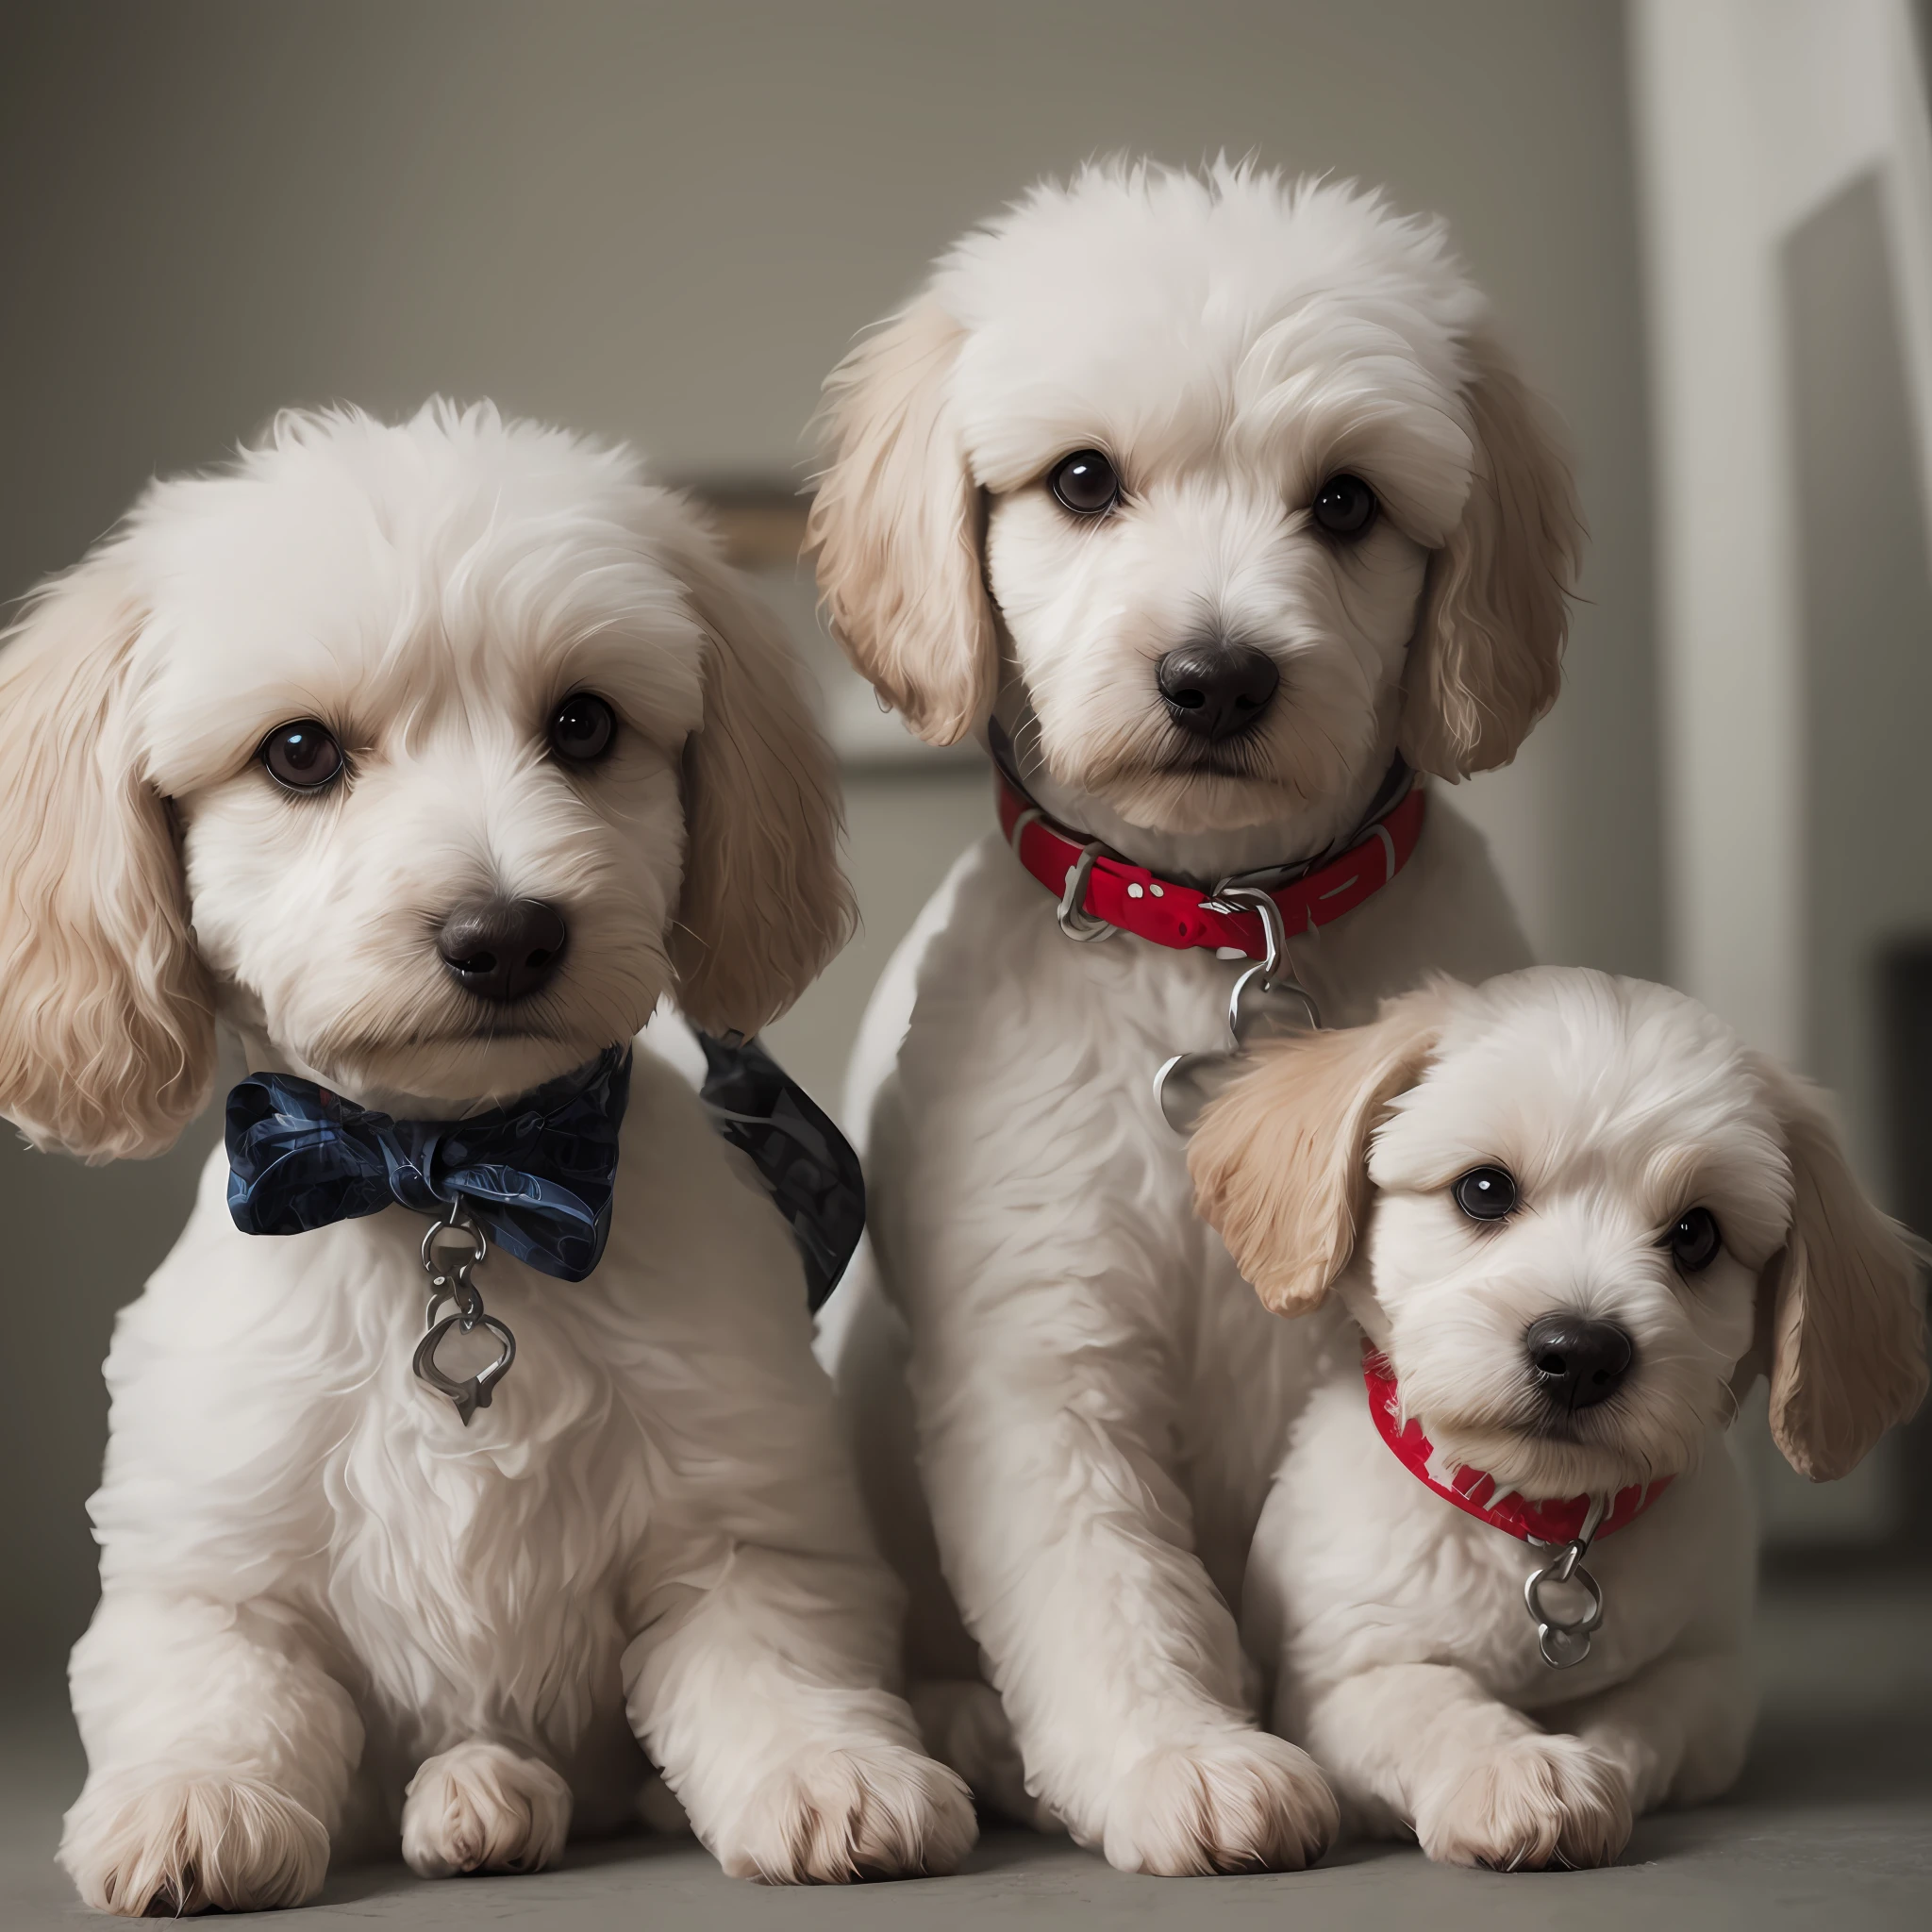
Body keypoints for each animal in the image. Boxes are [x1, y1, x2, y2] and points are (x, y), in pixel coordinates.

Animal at [0, 404, 974, 1916]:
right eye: (297, 753)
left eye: (583, 722)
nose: (504, 933)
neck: (456, 1182)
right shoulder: (206, 1562)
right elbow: (215, 1684)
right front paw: (197, 1795)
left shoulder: (744, 1522)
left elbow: (775, 1658)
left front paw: (831, 1767)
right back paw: (477, 1790)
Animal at [808, 162, 1576, 1870]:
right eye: (1084, 480)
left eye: (1345, 502)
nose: (1215, 676)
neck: (1222, 922)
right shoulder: (1040, 1342)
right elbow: (1103, 1586)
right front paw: (1180, 1754)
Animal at [1182, 974, 1924, 1862]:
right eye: (1484, 1189)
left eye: (1697, 1233)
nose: (1580, 1354)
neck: (1536, 1522)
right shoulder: (1337, 1677)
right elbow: (1428, 1703)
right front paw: (1516, 1765)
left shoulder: (1711, 1681)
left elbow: (1644, 1721)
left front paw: (1587, 1760)